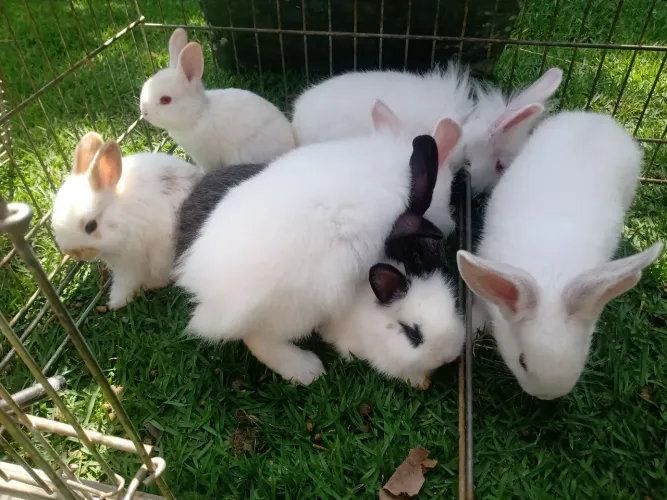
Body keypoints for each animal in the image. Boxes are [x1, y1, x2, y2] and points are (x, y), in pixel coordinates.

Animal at [51, 132, 204, 310]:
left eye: (90, 226)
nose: (70, 251)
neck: (121, 215)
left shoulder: (132, 260)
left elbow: (125, 283)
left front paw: (116, 302)